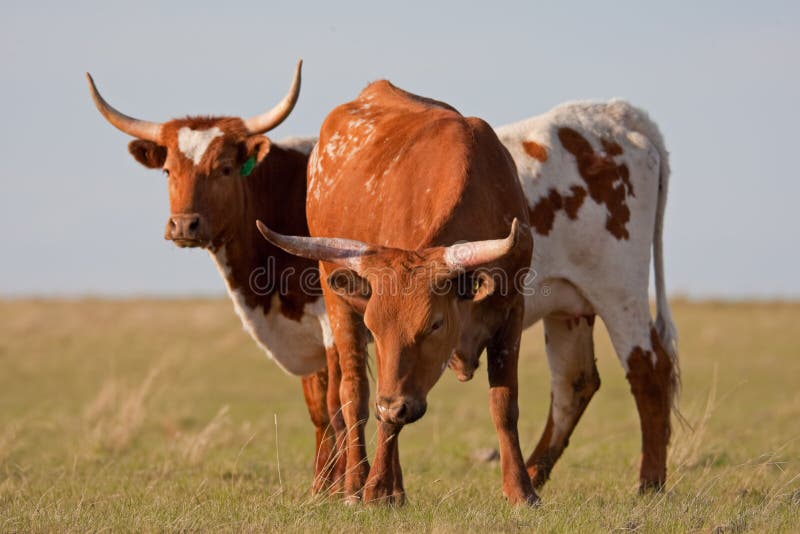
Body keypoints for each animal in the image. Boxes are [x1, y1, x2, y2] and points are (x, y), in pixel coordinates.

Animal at [85, 62, 345, 492]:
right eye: (168, 170)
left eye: (224, 168)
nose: (184, 225)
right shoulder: (305, 333)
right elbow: (319, 409)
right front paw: (322, 489)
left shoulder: (331, 321)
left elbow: (338, 402)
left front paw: (342, 490)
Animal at [256, 80, 539, 505]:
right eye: (375, 326)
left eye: (435, 325)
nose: (394, 407)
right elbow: (381, 418)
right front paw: (375, 491)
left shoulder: (512, 310)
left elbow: (504, 403)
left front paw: (521, 490)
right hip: (336, 301)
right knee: (354, 395)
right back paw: (358, 484)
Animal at [476, 100, 678, 492]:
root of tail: (615, 114)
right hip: (568, 304)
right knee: (575, 382)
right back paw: (533, 475)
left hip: (619, 289)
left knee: (648, 369)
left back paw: (649, 484)